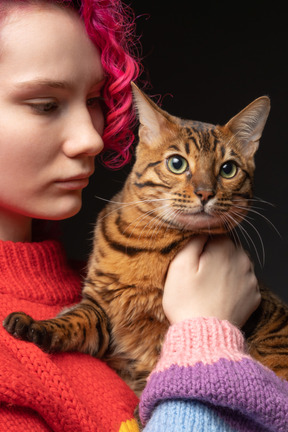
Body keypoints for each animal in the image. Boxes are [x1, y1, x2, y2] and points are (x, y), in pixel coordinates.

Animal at [2, 82, 288, 394]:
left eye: (228, 169)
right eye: (176, 163)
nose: (205, 193)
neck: (150, 242)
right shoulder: (99, 309)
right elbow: (73, 319)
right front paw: (35, 326)